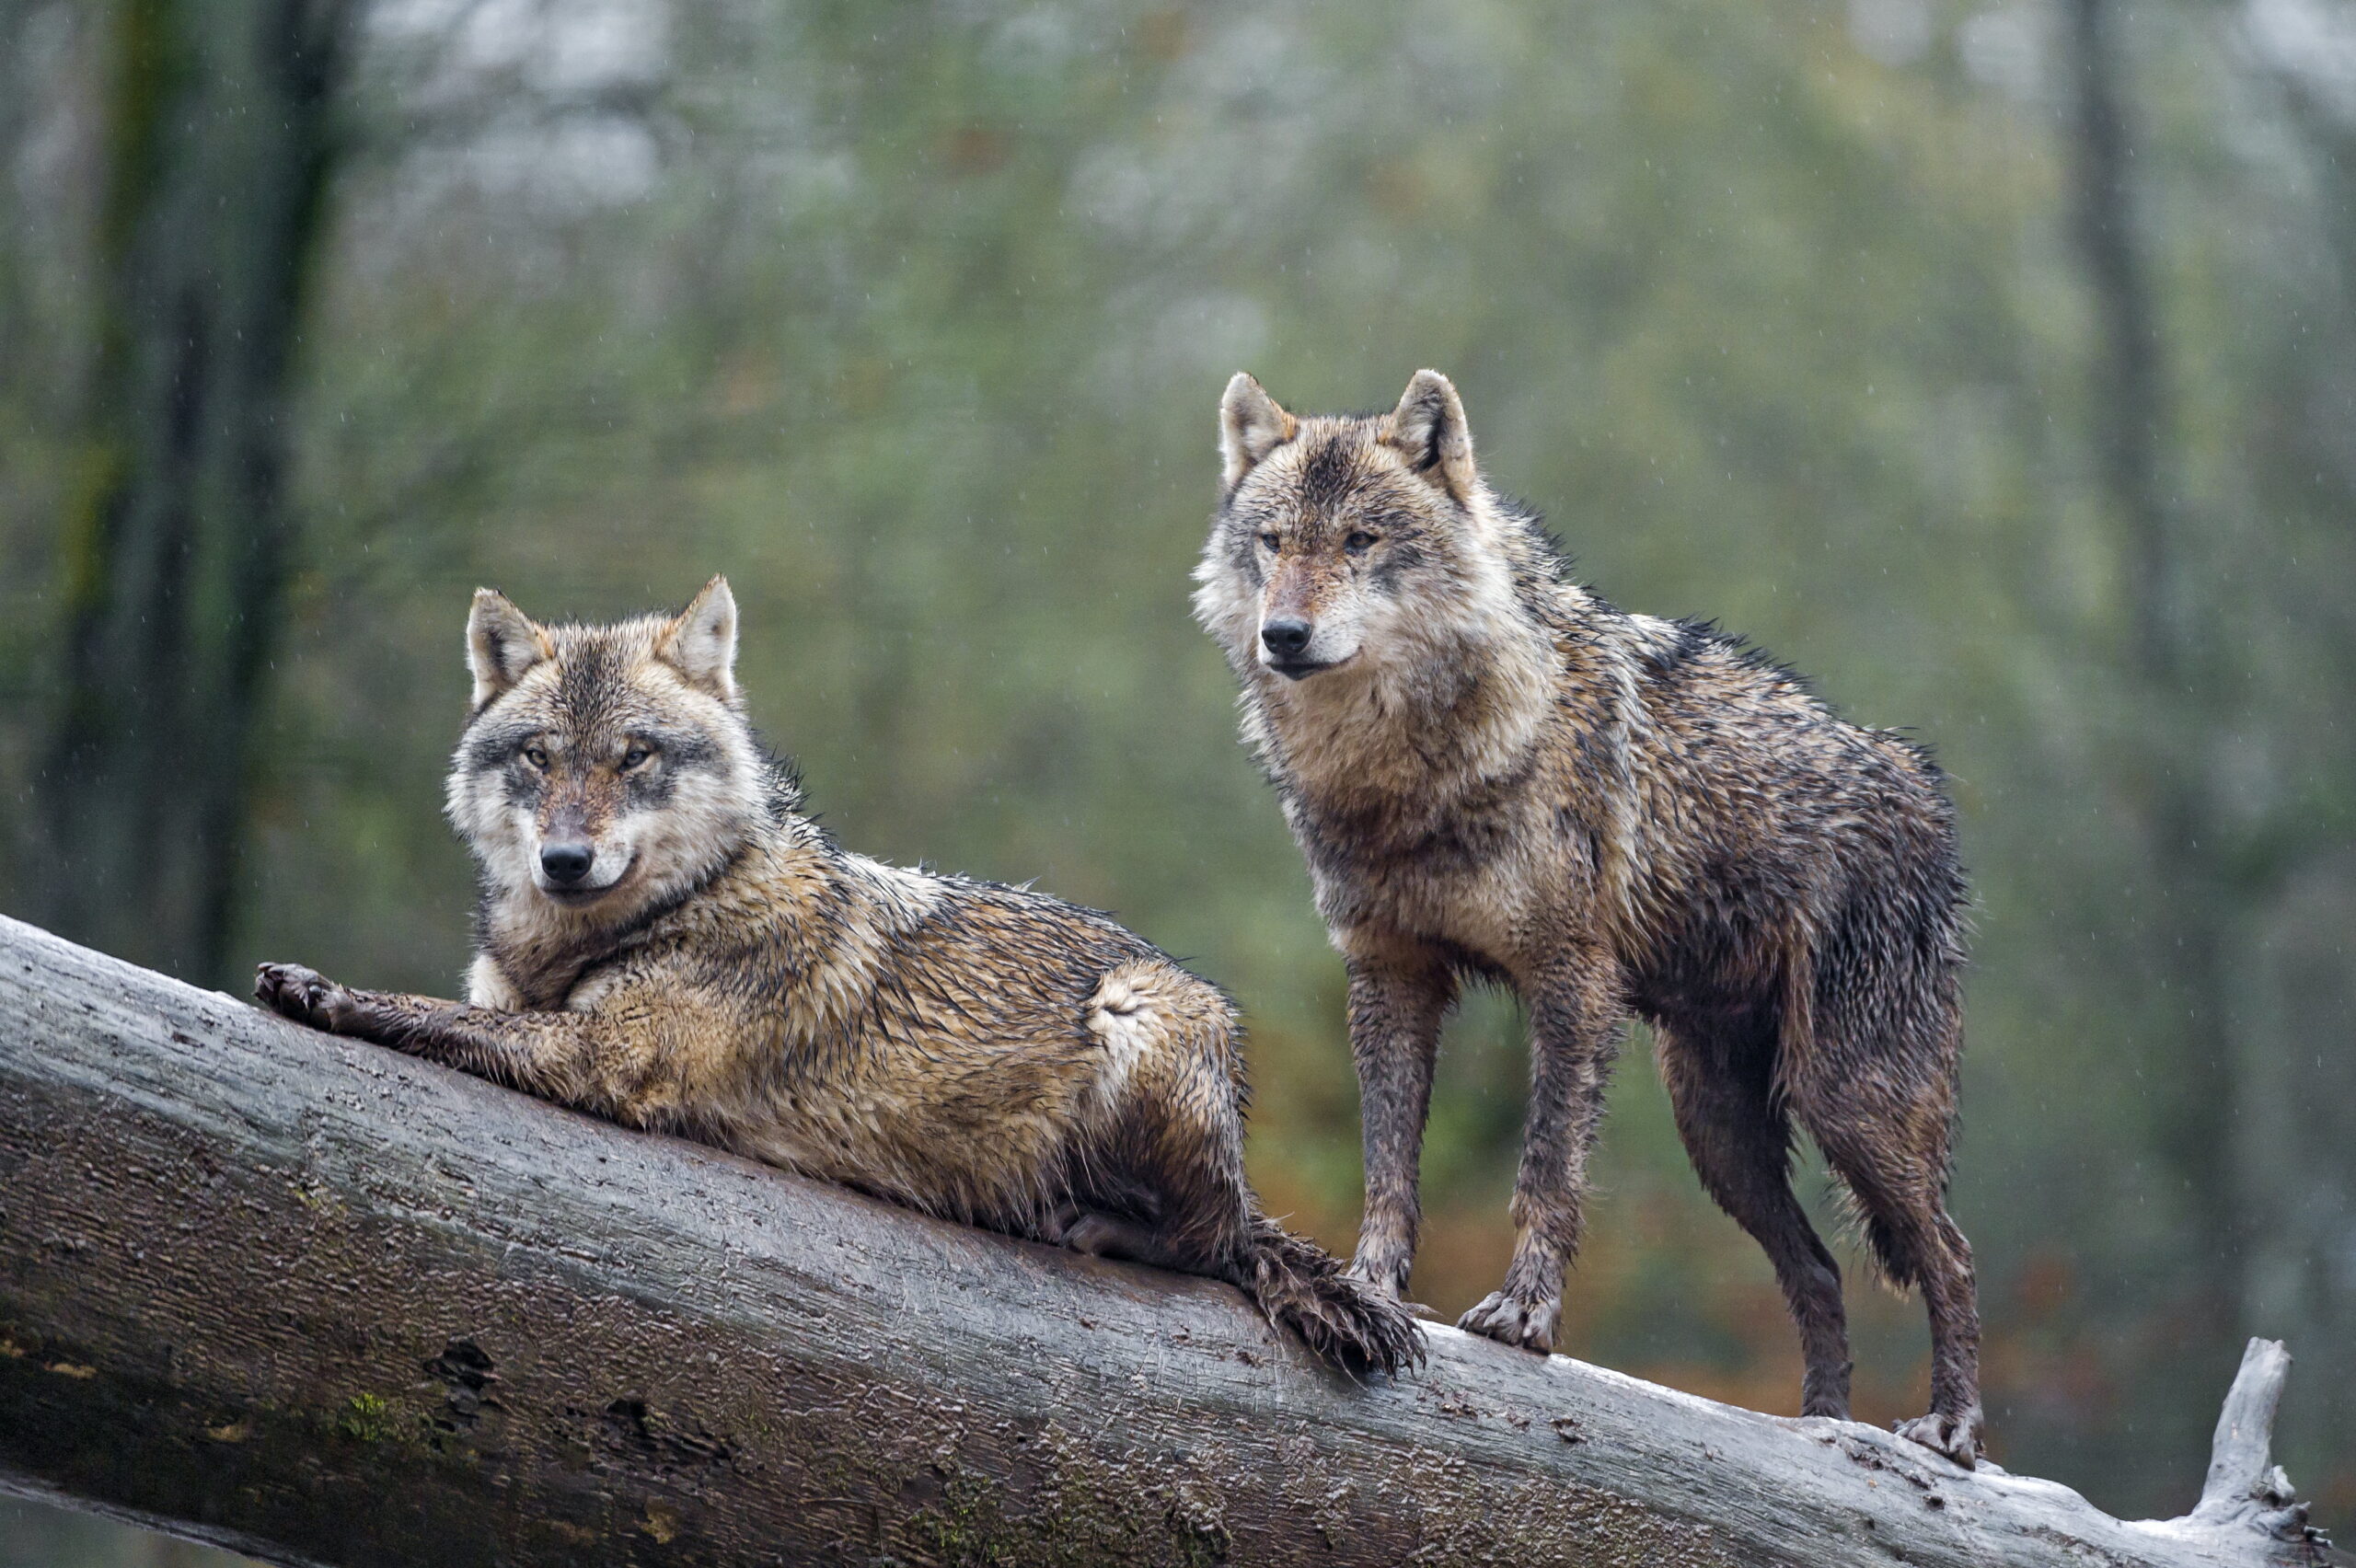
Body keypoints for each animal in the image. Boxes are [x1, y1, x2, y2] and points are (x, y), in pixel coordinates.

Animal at [258, 574, 1414, 1365]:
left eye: (634, 756)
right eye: (540, 757)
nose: (564, 860)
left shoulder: (609, 1054)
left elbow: (423, 1012)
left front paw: (322, 991)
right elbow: (460, 1008)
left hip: (1140, 1018)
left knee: (1212, 1241)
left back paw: (1097, 1225)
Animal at [1187, 372, 1979, 1459]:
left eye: (1358, 540)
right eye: (1273, 542)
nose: (1283, 637)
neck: (1408, 775)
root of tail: (1920, 786)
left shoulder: (1571, 982)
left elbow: (1547, 1173)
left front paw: (1524, 1317)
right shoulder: (1389, 976)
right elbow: (1387, 1168)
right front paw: (1368, 1289)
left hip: (1847, 1103)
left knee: (1952, 1254)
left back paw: (1950, 1429)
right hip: (1717, 1133)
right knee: (1818, 1269)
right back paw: (1818, 1431)